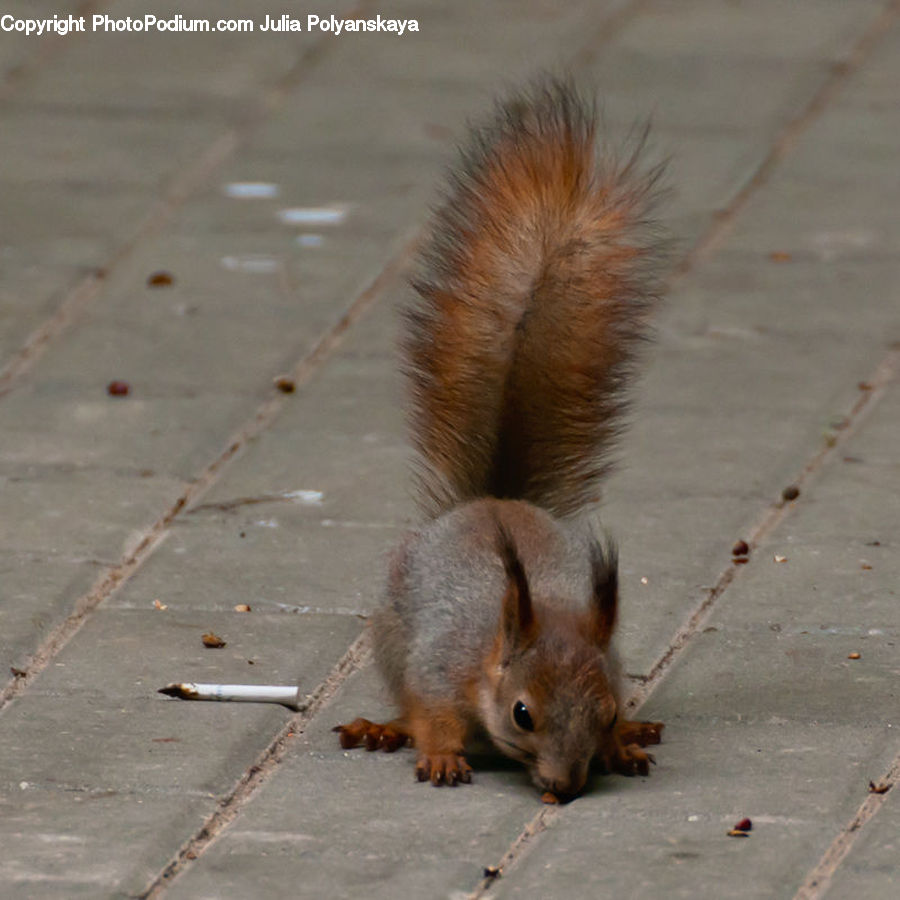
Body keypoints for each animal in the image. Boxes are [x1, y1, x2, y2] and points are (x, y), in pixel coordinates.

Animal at [334, 78, 667, 801]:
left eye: (605, 711)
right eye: (523, 713)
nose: (565, 787)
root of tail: (495, 501)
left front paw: (624, 742)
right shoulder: (437, 668)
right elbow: (432, 716)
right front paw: (439, 756)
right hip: (390, 637)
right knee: (402, 704)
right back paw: (384, 729)